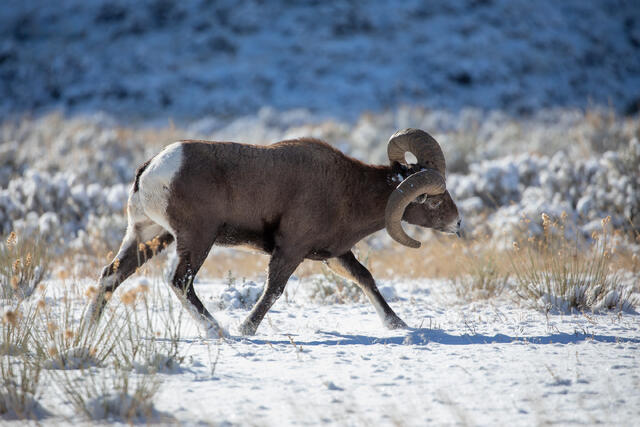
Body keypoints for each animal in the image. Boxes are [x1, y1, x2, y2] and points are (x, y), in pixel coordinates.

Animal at [87, 128, 461, 336]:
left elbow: (366, 279)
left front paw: (398, 325)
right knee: (180, 282)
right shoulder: (291, 251)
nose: (457, 224)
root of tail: (150, 170)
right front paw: (245, 329)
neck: (347, 189)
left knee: (111, 275)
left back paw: (88, 329)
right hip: (196, 240)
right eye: (434, 200)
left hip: (149, 236)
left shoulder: (335, 255)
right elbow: (273, 291)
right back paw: (218, 330)